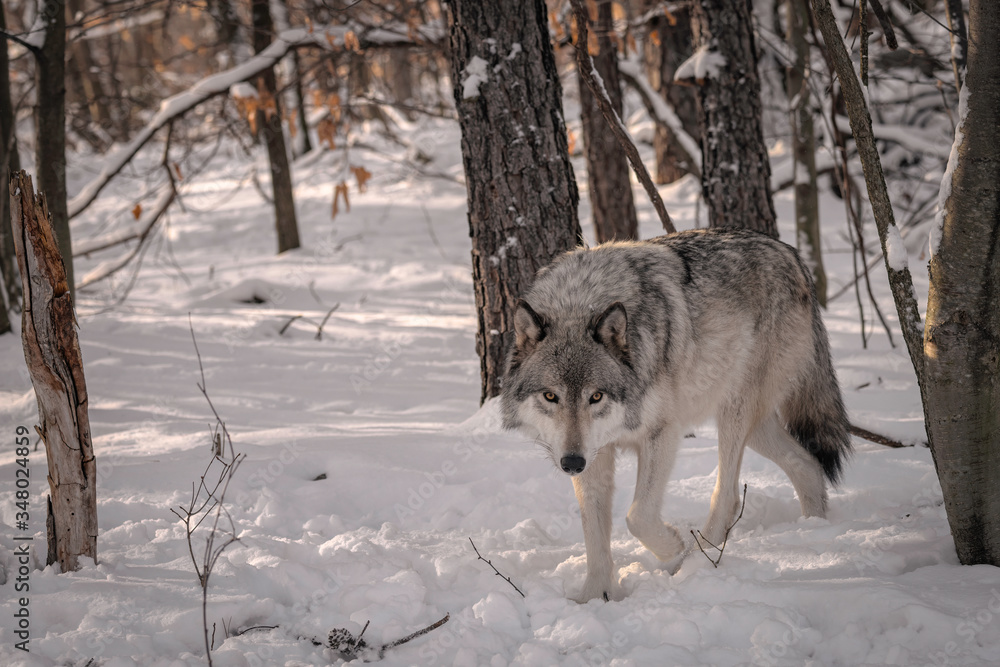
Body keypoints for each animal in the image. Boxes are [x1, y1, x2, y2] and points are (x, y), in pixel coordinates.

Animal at [500, 228, 851, 602]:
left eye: (595, 397)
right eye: (551, 396)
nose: (570, 464)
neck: (580, 300)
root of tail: (791, 254)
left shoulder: (662, 433)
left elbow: (637, 517)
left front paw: (673, 549)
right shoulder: (594, 452)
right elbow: (594, 534)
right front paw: (594, 598)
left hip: (734, 412)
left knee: (728, 494)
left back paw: (700, 559)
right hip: (757, 427)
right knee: (808, 465)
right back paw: (814, 529)